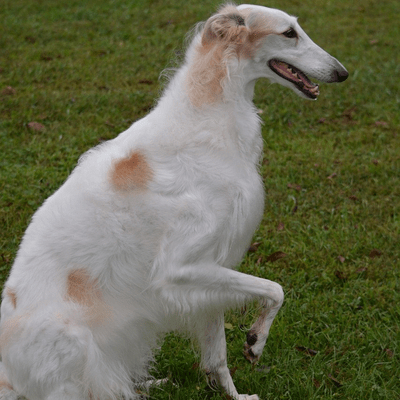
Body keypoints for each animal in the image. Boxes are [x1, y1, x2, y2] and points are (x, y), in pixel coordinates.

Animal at [0, 3, 346, 400]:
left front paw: (232, 391)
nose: (342, 72)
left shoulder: (210, 270)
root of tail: (7, 378)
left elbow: (217, 354)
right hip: (75, 342)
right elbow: (276, 289)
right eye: (289, 33)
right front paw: (256, 341)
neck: (206, 113)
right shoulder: (178, 269)